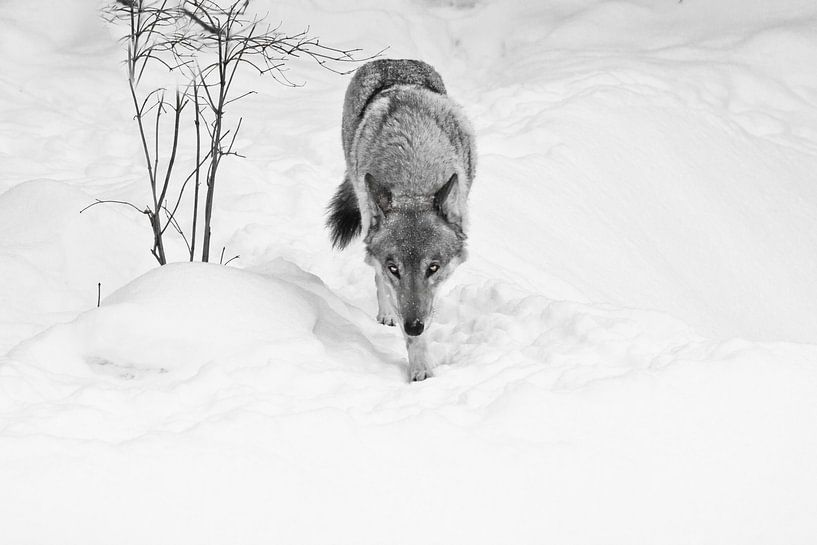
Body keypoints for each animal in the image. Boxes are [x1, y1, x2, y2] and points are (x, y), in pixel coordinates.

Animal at [326, 59, 476, 382]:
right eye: (394, 268)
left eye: (433, 267)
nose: (414, 326)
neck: (413, 175)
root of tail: (392, 60)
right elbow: (385, 284)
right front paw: (420, 369)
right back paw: (386, 314)